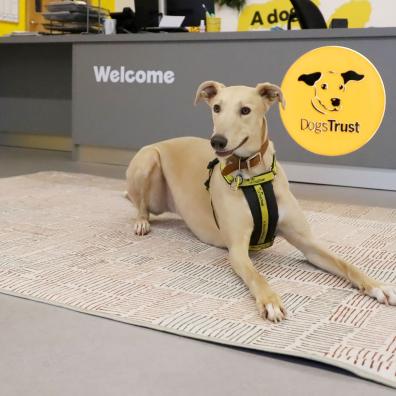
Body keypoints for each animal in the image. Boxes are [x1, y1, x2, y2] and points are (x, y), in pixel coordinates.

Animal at [125, 80, 394, 322]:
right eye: (216, 108)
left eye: (245, 110)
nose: (217, 141)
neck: (254, 177)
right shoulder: (237, 251)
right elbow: (257, 276)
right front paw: (270, 301)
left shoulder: (308, 244)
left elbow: (346, 263)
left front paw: (377, 285)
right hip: (147, 160)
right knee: (140, 206)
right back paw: (141, 222)